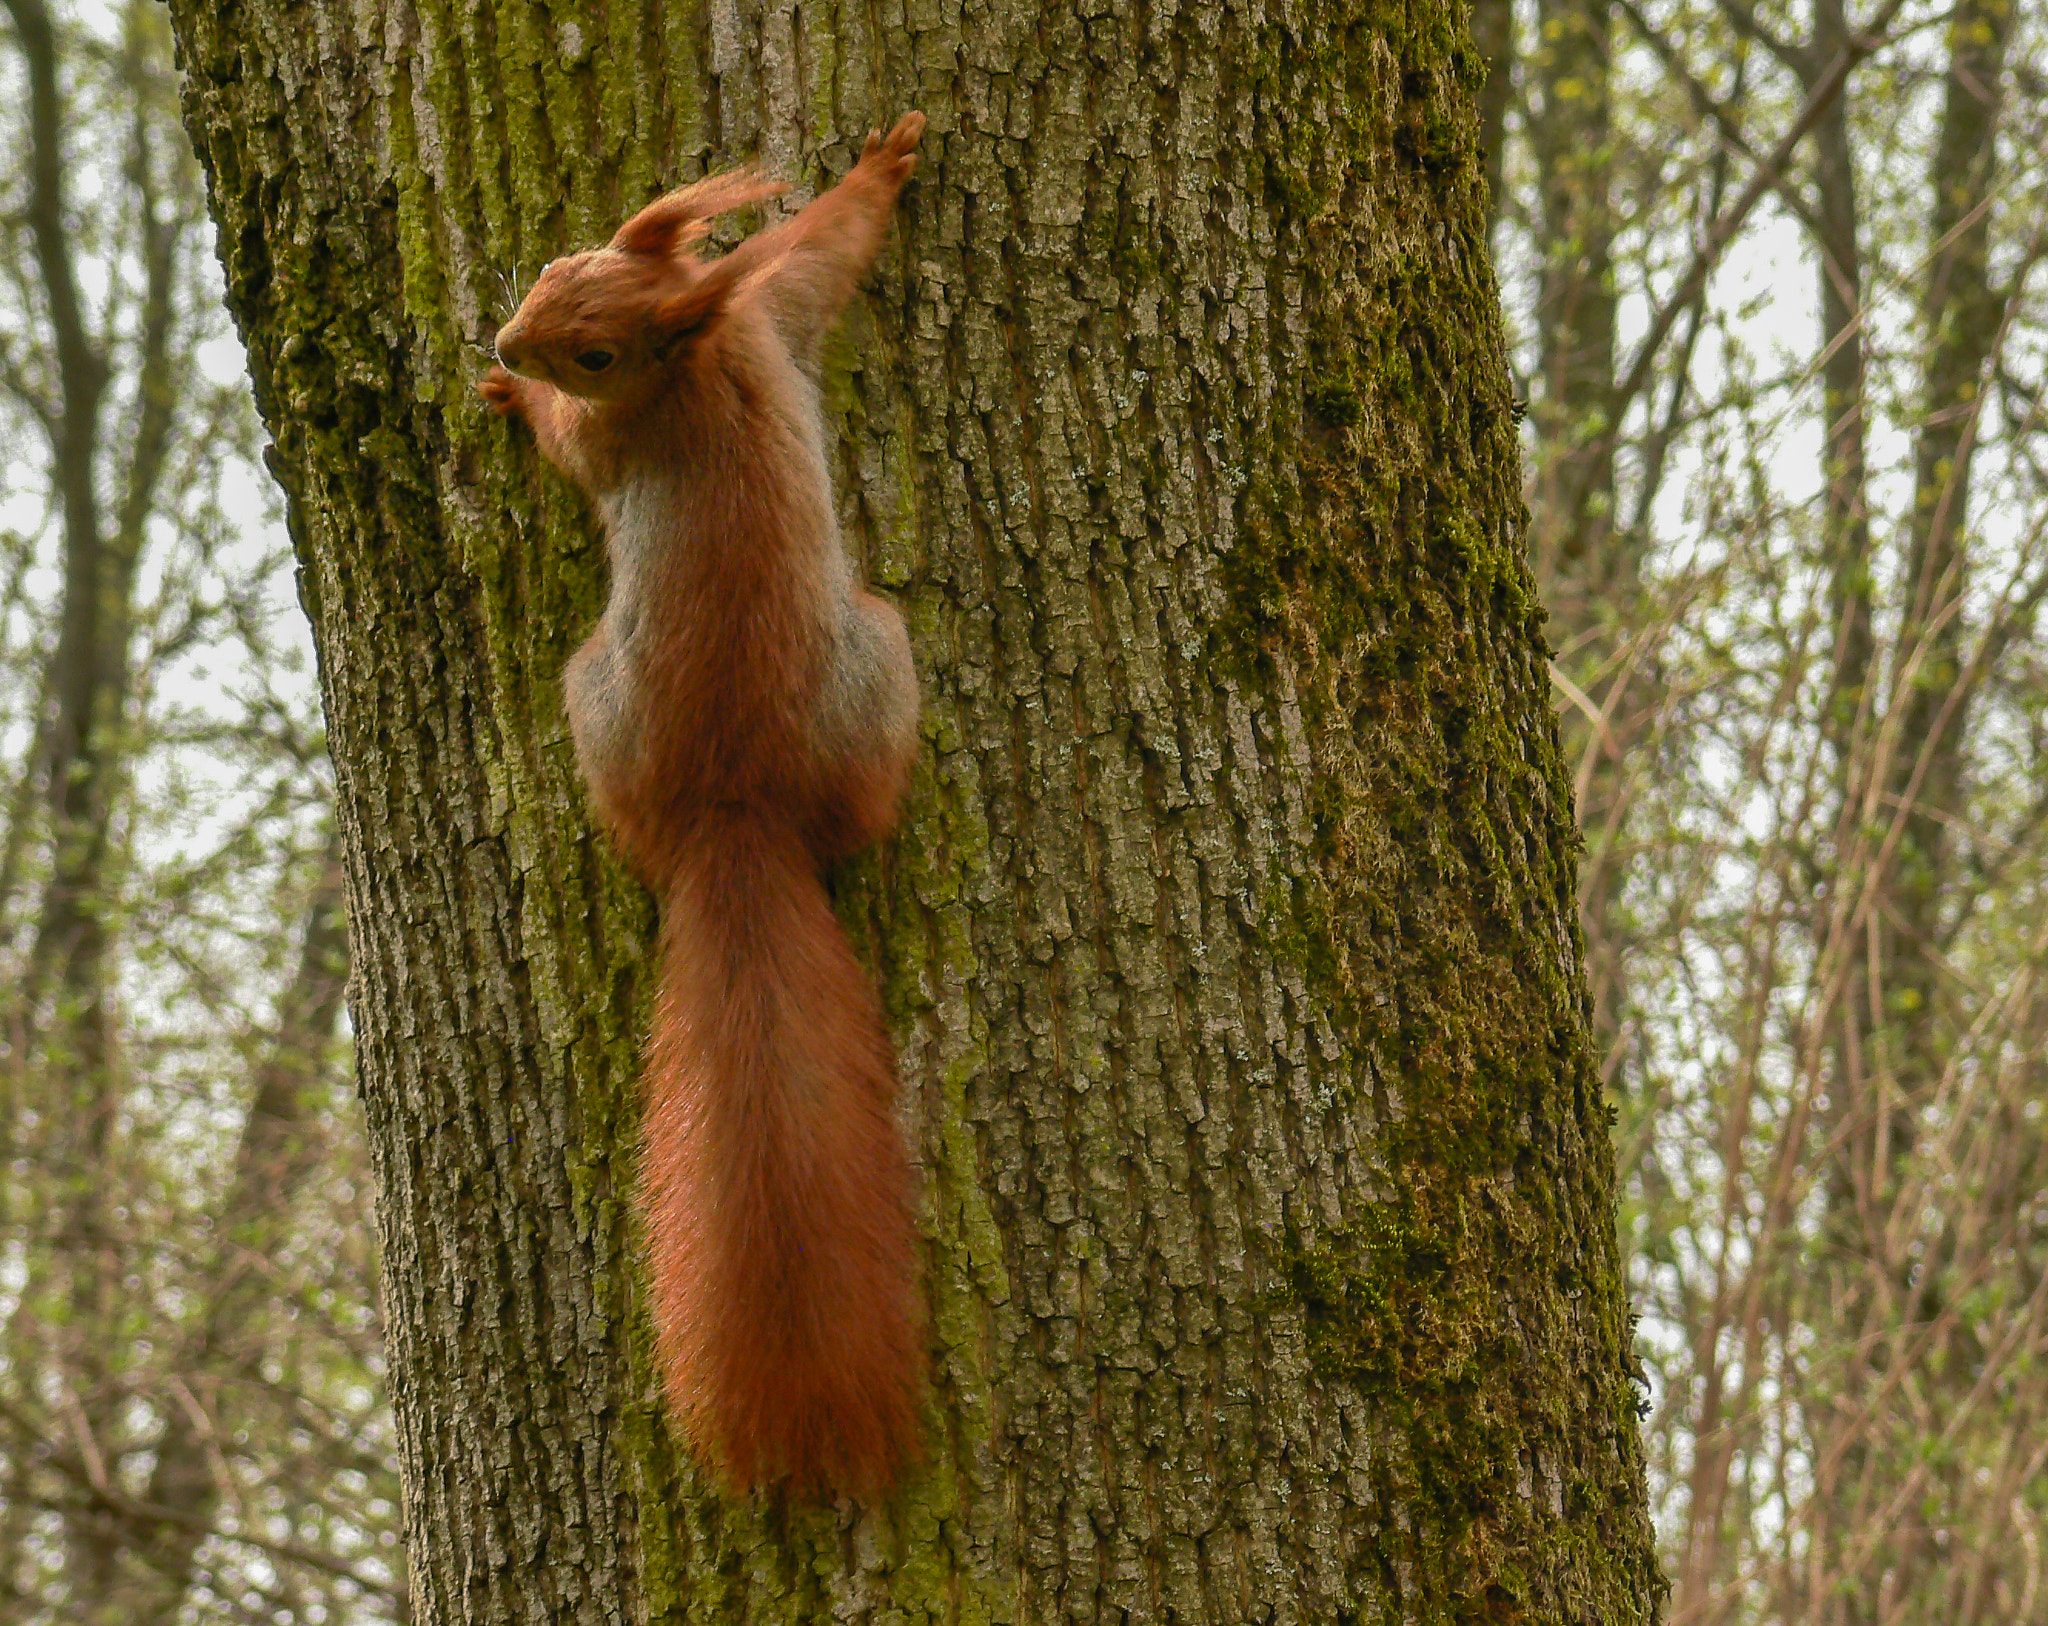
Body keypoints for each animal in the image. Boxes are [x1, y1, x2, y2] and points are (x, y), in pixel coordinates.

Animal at [475, 111, 925, 1499]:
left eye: (595, 353)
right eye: (554, 265)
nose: (504, 345)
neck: (702, 355)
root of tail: (735, 813)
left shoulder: (633, 422)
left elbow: (571, 451)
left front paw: (519, 406)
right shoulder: (776, 311)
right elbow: (824, 249)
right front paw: (883, 169)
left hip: (641, 692)